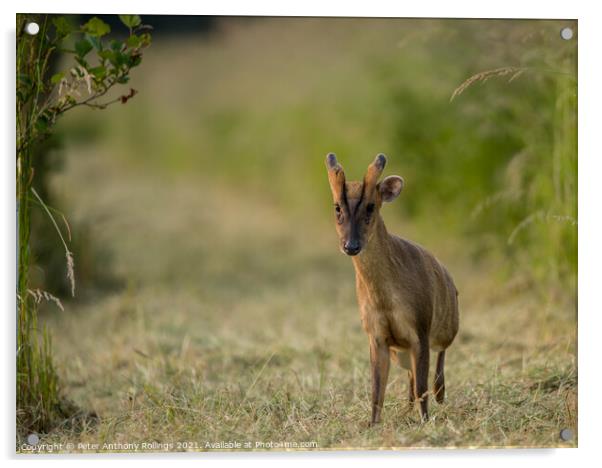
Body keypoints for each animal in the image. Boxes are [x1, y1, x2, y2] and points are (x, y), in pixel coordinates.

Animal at [324, 154, 460, 424]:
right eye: (337, 207)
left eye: (370, 206)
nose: (351, 245)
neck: (385, 299)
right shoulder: (375, 335)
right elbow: (377, 389)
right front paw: (372, 424)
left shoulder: (420, 327)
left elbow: (421, 386)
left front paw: (425, 421)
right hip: (401, 351)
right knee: (410, 376)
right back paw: (408, 408)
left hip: (448, 325)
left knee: (439, 356)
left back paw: (440, 394)